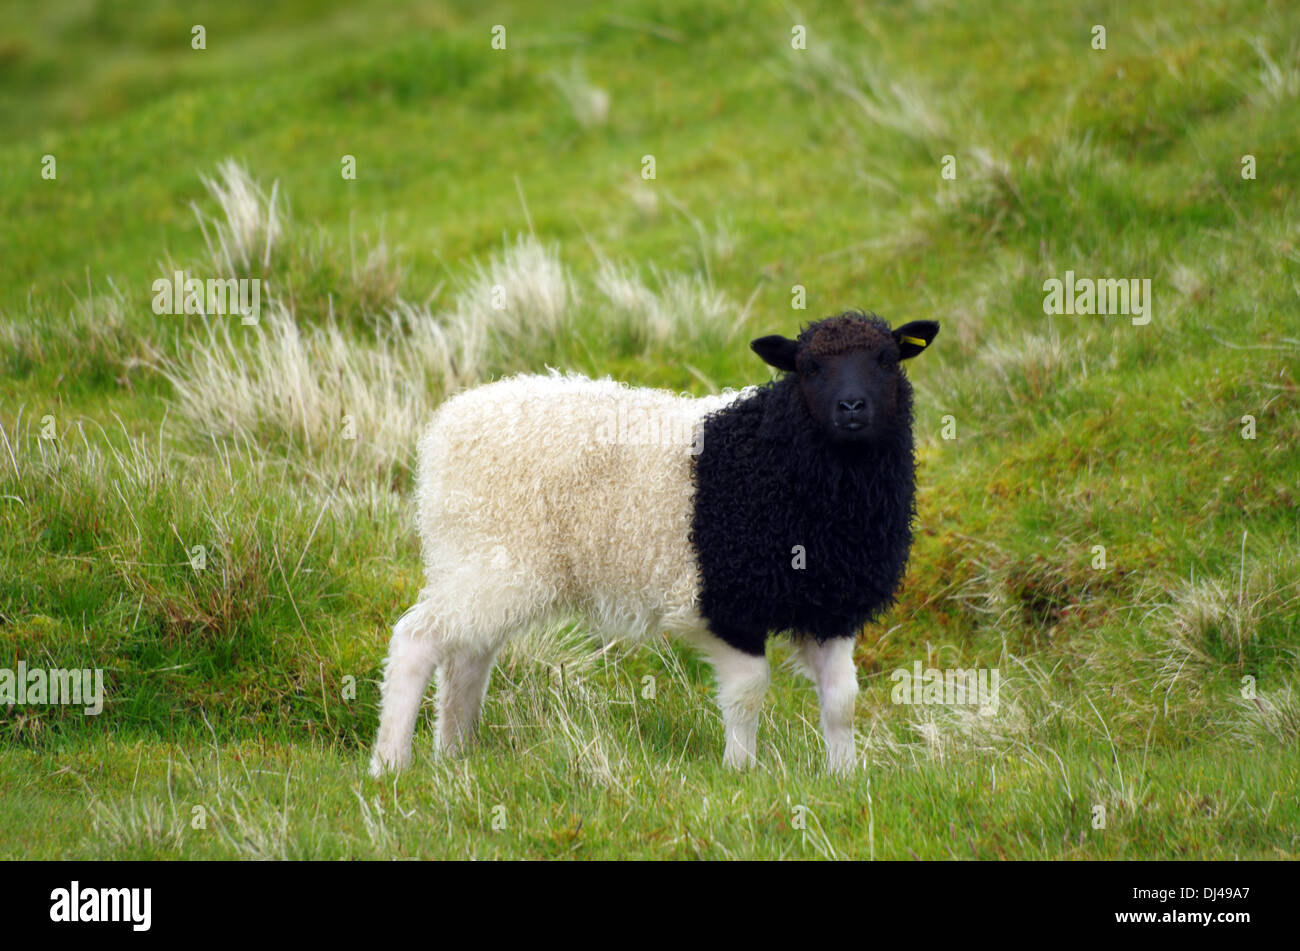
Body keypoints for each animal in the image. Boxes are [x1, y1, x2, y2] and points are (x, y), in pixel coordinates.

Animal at [371, 310, 941, 774]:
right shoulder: (724, 604)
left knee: (467, 656)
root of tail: (449, 424)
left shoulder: (830, 605)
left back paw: (455, 753)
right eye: (810, 367)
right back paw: (392, 763)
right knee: (417, 640)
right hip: (490, 562)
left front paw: (843, 776)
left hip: (482, 566)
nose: (852, 407)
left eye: (886, 359)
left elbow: (842, 699)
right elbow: (748, 693)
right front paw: (741, 771)